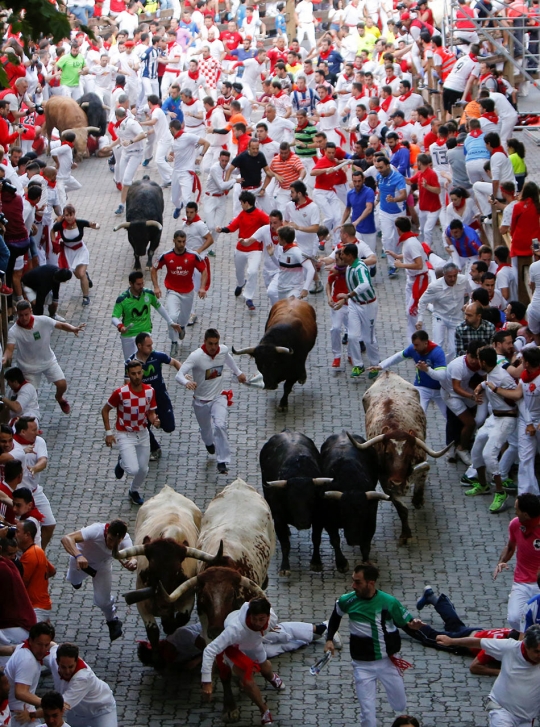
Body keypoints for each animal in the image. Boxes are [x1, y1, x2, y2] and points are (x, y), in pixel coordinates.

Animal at [115, 490, 220, 656]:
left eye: (177, 572)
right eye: (152, 569)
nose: (162, 603)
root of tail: (168, 490)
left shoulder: (188, 596)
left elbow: (181, 618)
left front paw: (169, 626)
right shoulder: (142, 603)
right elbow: (153, 632)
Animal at [157, 478, 274, 724]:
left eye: (233, 595)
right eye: (203, 597)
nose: (216, 629)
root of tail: (239, 483)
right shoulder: (207, 628)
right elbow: (223, 668)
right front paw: (229, 706)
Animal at [260, 430, 332, 576]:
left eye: (312, 498)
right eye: (290, 500)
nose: (303, 523)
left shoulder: (319, 517)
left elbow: (316, 538)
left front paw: (316, 562)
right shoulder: (279, 519)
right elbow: (285, 543)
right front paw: (285, 567)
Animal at [318, 430, 390, 572]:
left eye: (363, 514)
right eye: (343, 513)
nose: (353, 540)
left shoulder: (370, 519)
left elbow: (365, 544)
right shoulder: (328, 520)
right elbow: (335, 540)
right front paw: (341, 563)